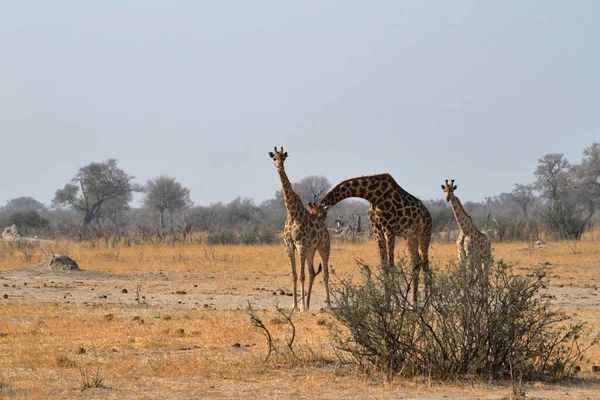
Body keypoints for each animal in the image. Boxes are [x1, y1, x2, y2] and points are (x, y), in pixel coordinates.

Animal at [268, 147, 332, 312]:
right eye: (274, 158)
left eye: (283, 157)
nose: (280, 166)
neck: (292, 212)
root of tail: (326, 230)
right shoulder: (289, 246)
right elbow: (295, 275)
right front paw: (295, 306)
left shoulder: (300, 245)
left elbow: (301, 275)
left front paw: (301, 306)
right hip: (311, 250)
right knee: (312, 273)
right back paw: (308, 304)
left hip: (323, 247)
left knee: (325, 274)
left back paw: (328, 305)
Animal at [310, 173, 432, 302]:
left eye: (319, 215)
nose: (315, 226)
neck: (371, 195)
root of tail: (429, 215)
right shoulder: (377, 229)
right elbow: (384, 265)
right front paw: (387, 301)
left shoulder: (390, 229)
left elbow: (391, 264)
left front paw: (395, 300)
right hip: (410, 237)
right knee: (416, 263)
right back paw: (414, 301)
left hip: (424, 233)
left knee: (425, 263)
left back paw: (426, 300)